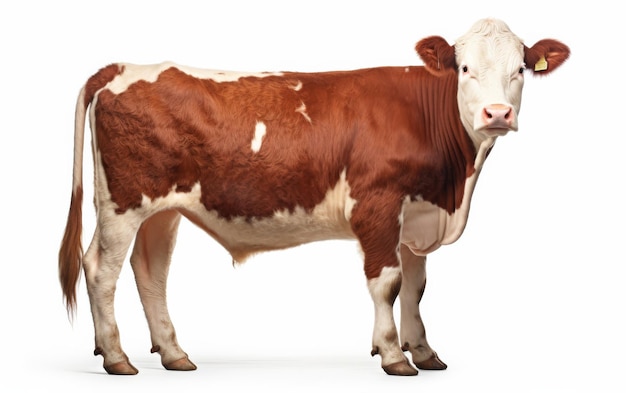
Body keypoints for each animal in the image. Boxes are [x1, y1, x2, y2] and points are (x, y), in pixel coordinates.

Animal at [59, 17, 572, 374]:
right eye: (465, 69)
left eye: (520, 69)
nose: (497, 113)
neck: (453, 187)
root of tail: (122, 67)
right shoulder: (377, 203)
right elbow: (387, 283)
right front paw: (393, 355)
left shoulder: (417, 213)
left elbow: (416, 286)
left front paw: (424, 352)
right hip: (123, 203)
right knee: (100, 270)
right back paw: (116, 357)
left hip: (161, 210)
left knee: (151, 273)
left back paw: (173, 354)